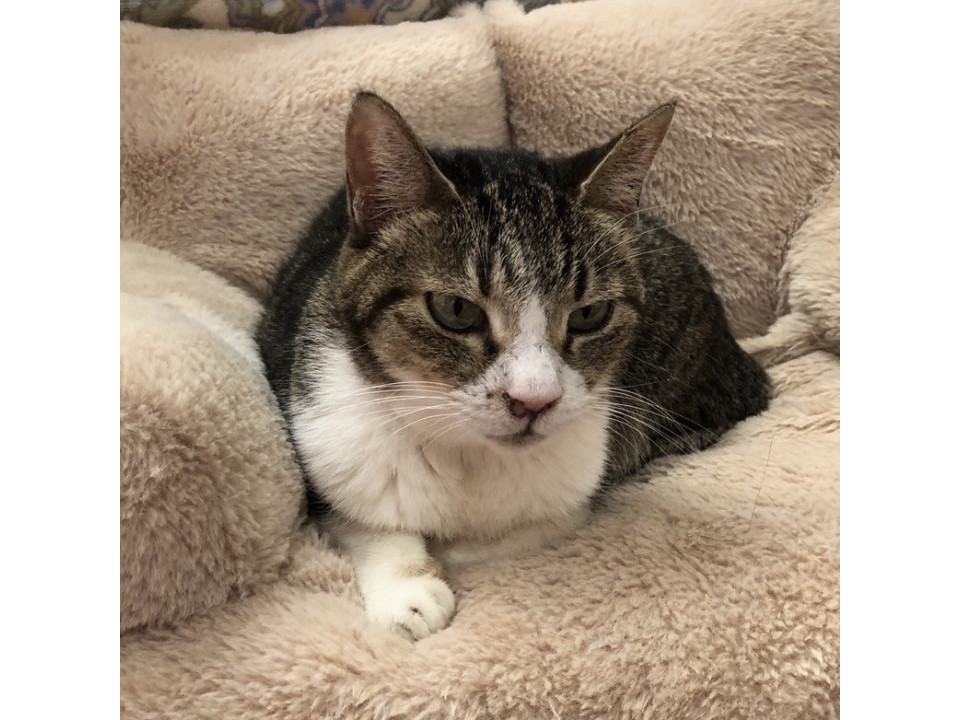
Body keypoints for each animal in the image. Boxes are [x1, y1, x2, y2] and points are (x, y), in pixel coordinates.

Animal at [256, 92, 769, 641]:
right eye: (456, 310)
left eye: (590, 313)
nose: (533, 401)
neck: (468, 456)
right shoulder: (320, 422)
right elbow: (367, 519)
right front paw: (407, 590)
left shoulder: (581, 479)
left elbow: (537, 526)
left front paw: (452, 552)